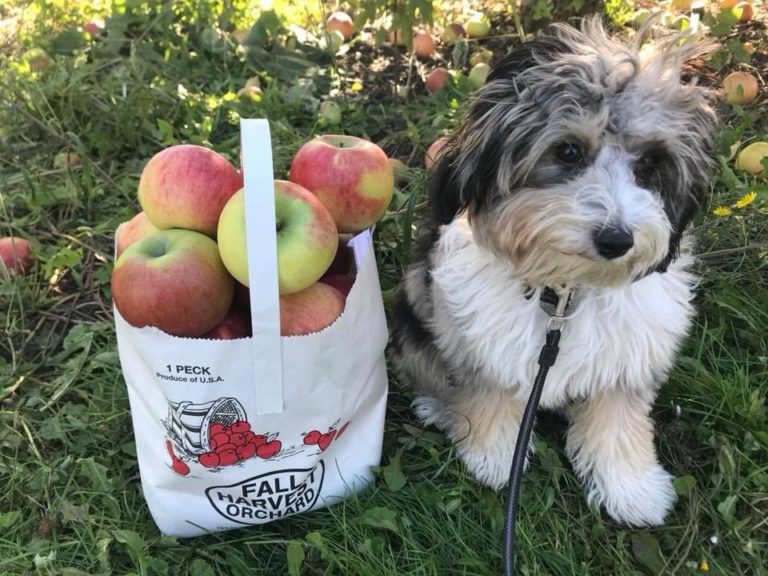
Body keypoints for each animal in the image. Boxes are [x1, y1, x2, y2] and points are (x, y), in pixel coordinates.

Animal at [392, 16, 716, 528]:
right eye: (567, 152)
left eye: (649, 165)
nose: (617, 240)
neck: (564, 294)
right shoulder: (483, 346)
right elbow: (490, 396)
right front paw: (493, 459)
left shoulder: (625, 361)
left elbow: (617, 421)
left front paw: (632, 489)